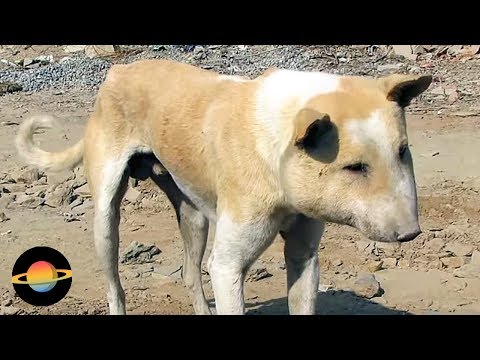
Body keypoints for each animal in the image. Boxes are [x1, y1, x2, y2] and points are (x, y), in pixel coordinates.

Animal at [15, 57, 432, 314]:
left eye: (403, 151)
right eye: (354, 167)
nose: (411, 233)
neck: (275, 144)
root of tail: (118, 69)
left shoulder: (304, 256)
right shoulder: (228, 266)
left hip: (194, 216)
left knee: (188, 272)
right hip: (106, 219)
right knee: (114, 286)